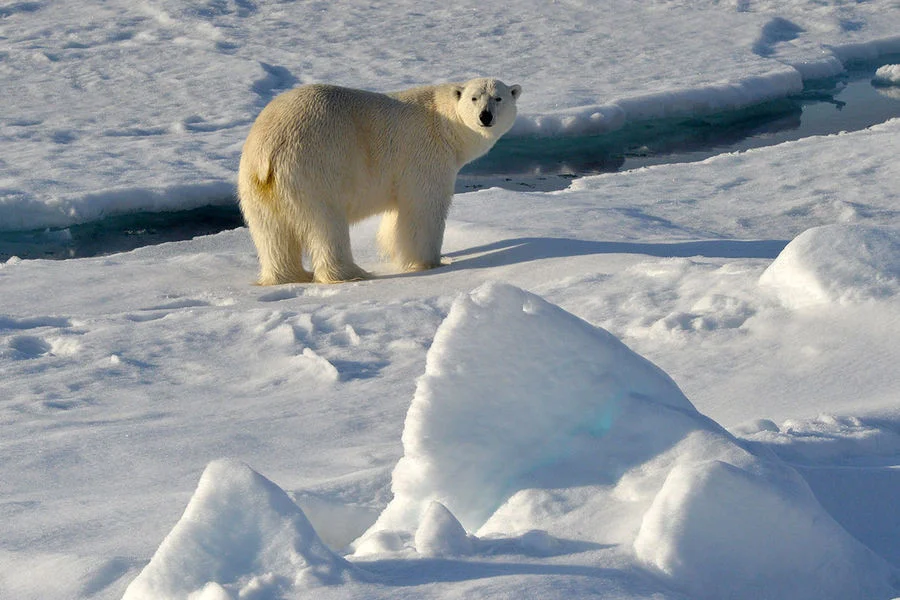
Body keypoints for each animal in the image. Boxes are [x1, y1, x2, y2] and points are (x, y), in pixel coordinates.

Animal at [237, 77, 520, 284]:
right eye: (474, 98)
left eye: (498, 98)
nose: (485, 116)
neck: (444, 124)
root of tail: (268, 149)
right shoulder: (425, 155)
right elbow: (424, 209)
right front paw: (431, 262)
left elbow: (396, 215)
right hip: (315, 167)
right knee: (326, 224)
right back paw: (351, 273)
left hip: (254, 184)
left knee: (271, 232)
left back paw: (288, 276)